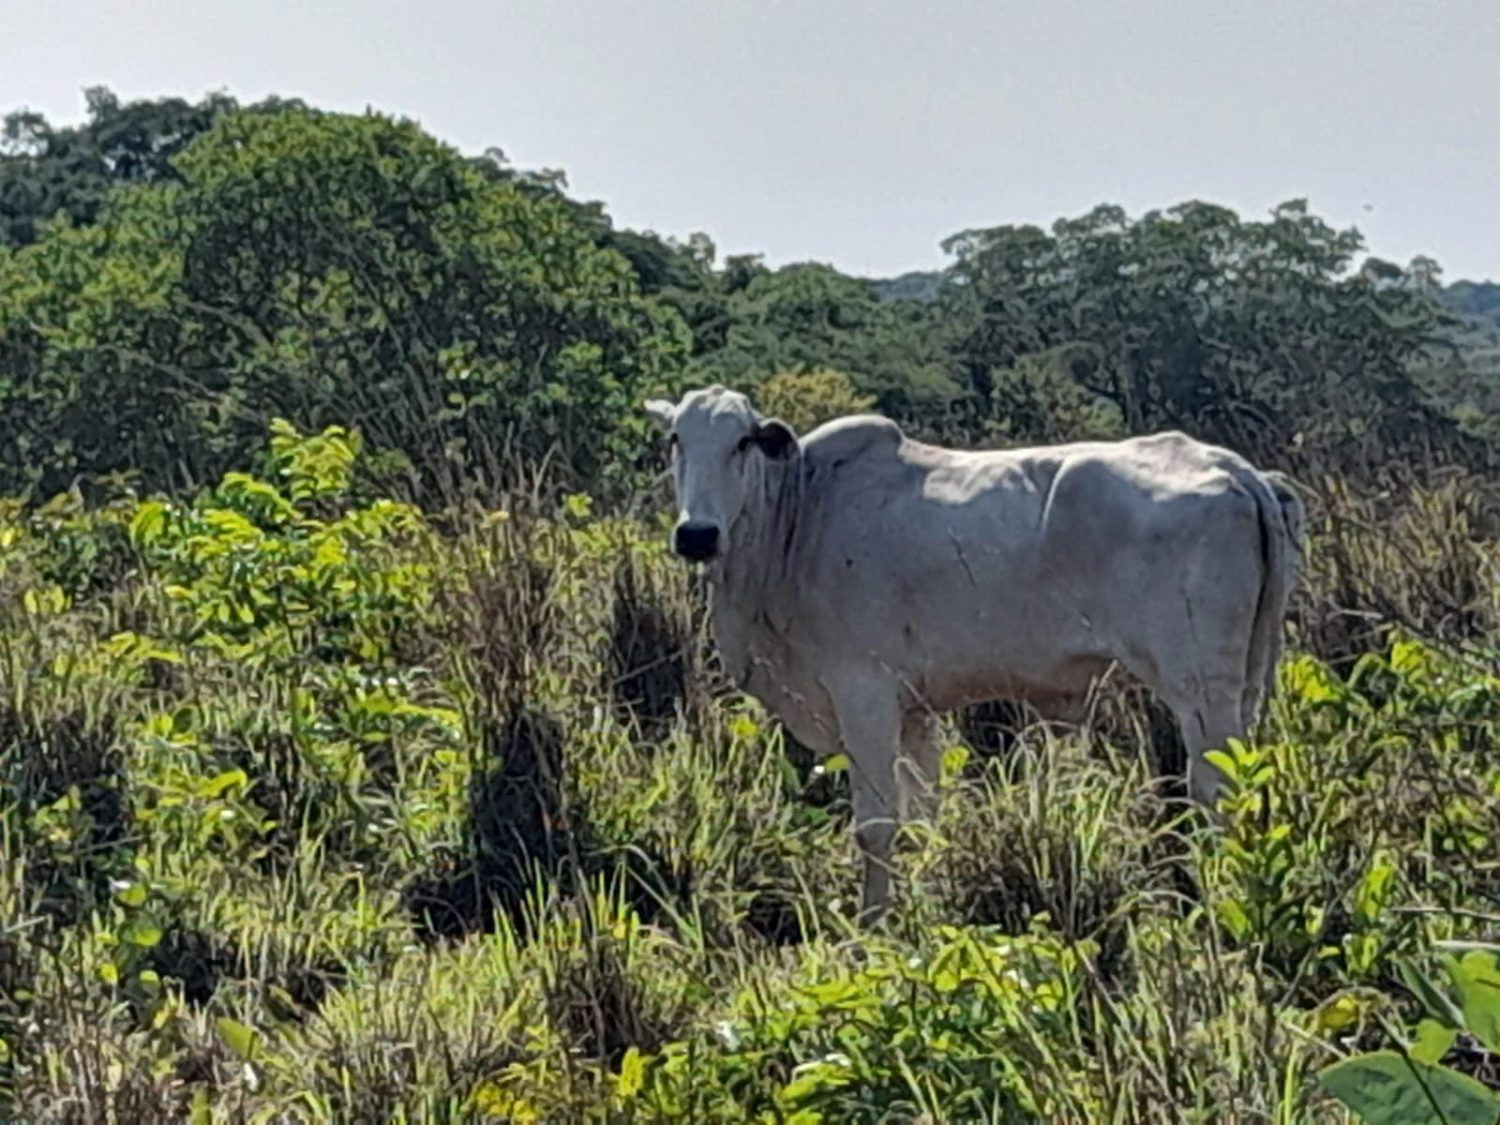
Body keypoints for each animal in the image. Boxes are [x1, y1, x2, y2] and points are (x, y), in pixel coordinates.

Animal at [645, 387, 1302, 918]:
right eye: (677, 439)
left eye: (742, 443)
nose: (697, 534)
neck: (800, 517)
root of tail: (1235, 468)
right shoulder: (912, 711)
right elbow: (923, 816)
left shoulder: (863, 694)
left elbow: (875, 826)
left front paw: (872, 926)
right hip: (1240, 686)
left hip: (1200, 690)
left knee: (1216, 789)